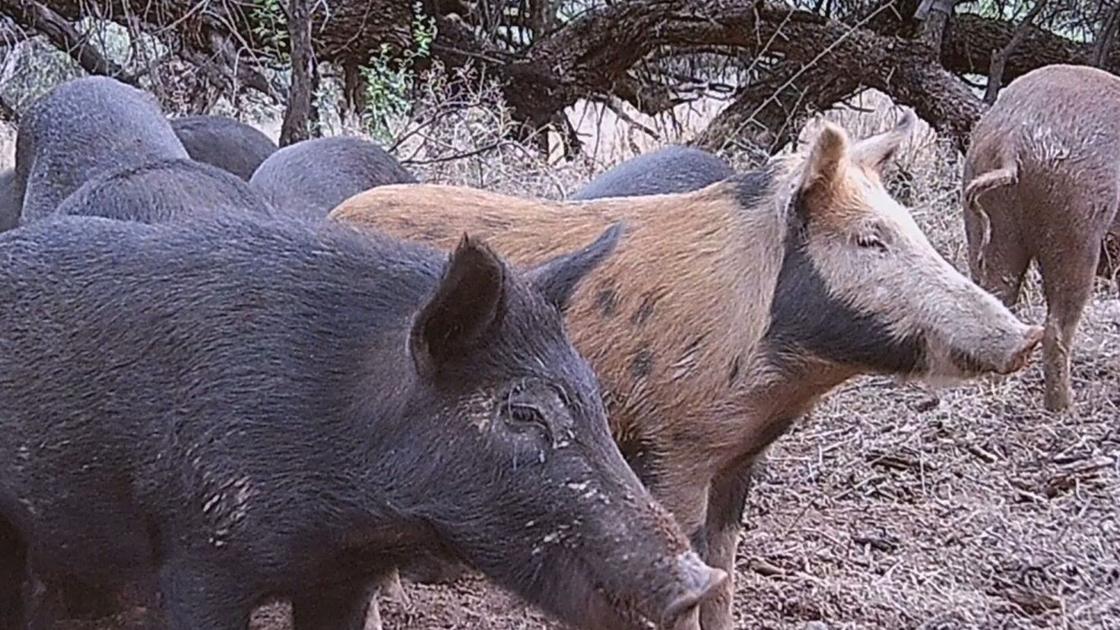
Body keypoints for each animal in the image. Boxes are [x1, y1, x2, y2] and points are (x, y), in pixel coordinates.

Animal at [962, 63, 1120, 412]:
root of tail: (1010, 139)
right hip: (1074, 224)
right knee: (1057, 327)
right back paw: (1065, 409)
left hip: (988, 222)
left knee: (997, 295)